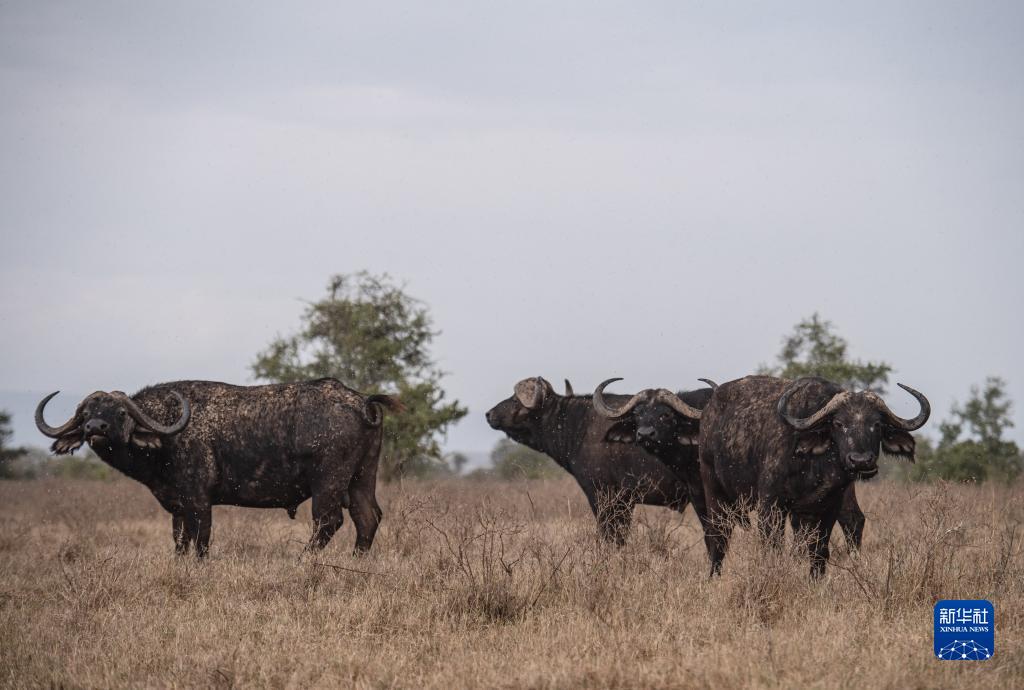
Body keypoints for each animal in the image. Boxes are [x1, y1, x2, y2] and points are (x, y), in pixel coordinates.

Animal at [35, 378, 402, 557]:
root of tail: (362, 400)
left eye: (121, 412)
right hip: (362, 478)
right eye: (85, 413)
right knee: (367, 517)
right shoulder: (178, 506)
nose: (94, 428)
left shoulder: (199, 501)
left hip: (329, 482)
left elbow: (201, 541)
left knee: (329, 521)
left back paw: (304, 561)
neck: (168, 432)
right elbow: (180, 541)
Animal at [485, 376, 691, 544]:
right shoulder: (624, 501)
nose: (489, 414)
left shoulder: (604, 496)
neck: (578, 425)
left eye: (515, 400)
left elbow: (612, 537)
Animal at [592, 377, 868, 554]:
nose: (645, 434)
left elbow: (713, 532)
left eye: (665, 414)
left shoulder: (702, 493)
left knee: (852, 520)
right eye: (638, 415)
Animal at [697, 375, 928, 577]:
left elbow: (819, 551)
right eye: (838, 424)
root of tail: (709, 409)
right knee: (718, 535)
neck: (817, 466)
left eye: (877, 424)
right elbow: (772, 548)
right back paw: (714, 576)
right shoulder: (771, 506)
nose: (861, 461)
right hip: (713, 487)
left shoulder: (826, 508)